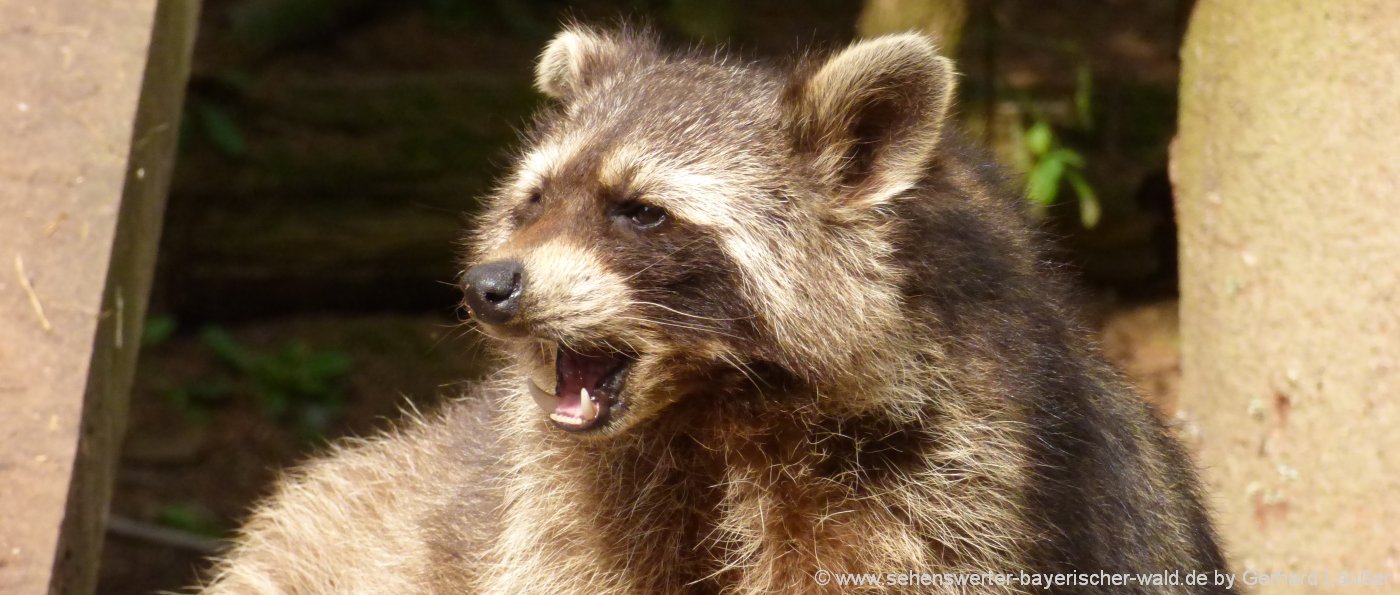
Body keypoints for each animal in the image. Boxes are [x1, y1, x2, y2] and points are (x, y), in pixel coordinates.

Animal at [194, 26, 1226, 593]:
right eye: (536, 199)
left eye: (639, 211)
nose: (492, 285)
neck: (711, 415)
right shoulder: (564, 499)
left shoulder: (952, 475)